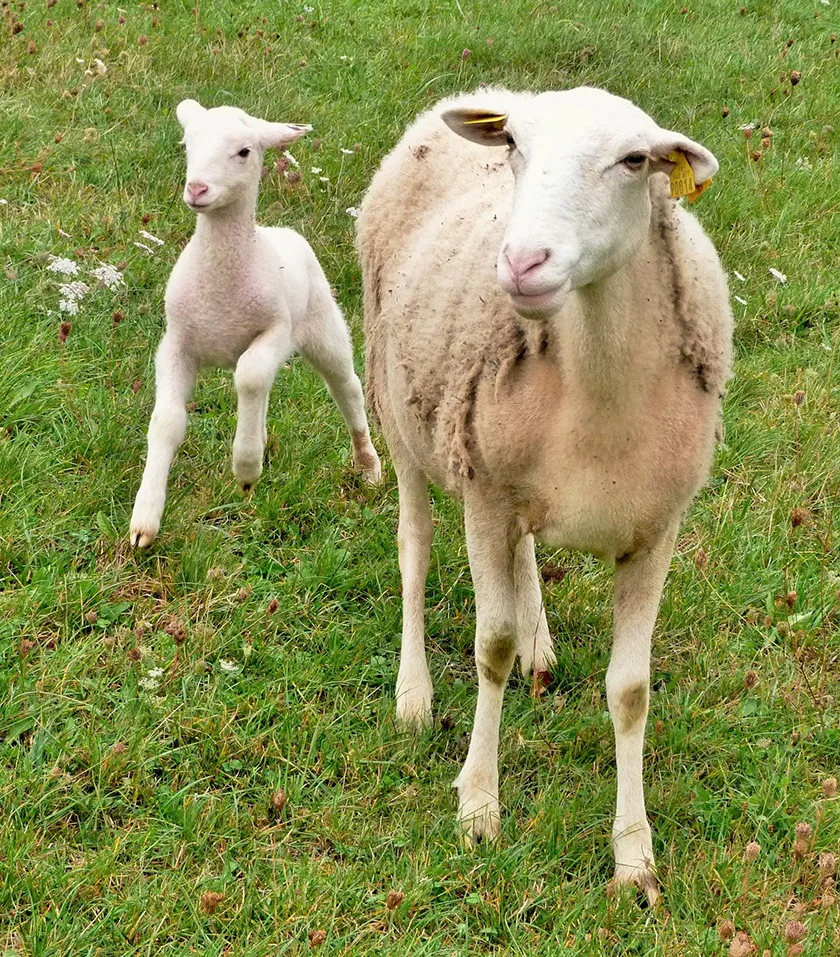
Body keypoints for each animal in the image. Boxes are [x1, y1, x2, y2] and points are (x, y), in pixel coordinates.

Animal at [128, 101, 380, 548]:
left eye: (244, 152)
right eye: (187, 144)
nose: (196, 189)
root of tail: (280, 231)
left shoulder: (276, 331)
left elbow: (248, 377)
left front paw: (245, 469)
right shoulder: (176, 344)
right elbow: (167, 422)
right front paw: (145, 520)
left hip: (322, 325)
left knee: (345, 388)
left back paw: (368, 465)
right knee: (267, 390)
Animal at [358, 86, 732, 900]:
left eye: (635, 160)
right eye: (515, 149)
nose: (522, 261)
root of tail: (485, 95)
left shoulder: (656, 529)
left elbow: (631, 690)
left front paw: (634, 858)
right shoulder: (485, 496)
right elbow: (488, 647)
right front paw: (478, 808)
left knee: (525, 554)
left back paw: (540, 641)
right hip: (400, 419)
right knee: (413, 549)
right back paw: (413, 694)